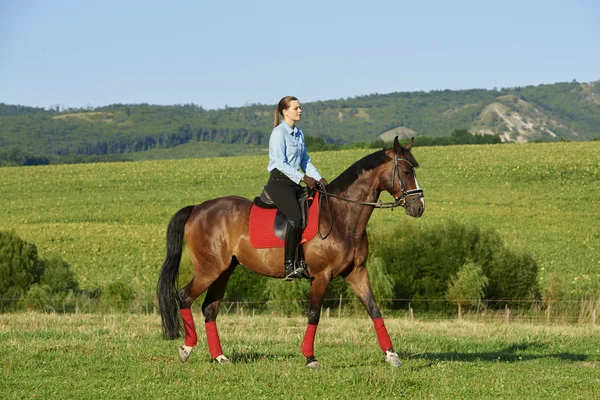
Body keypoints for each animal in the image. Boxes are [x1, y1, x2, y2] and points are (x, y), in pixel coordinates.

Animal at [157, 136, 424, 368]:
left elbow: (374, 310)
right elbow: (314, 314)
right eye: (407, 172)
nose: (419, 208)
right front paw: (310, 358)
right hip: (209, 269)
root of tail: (197, 209)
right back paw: (186, 349)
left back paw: (220, 357)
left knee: (209, 309)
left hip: (224, 271)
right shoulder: (321, 276)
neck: (342, 215)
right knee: (183, 297)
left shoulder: (357, 272)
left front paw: (391, 355)